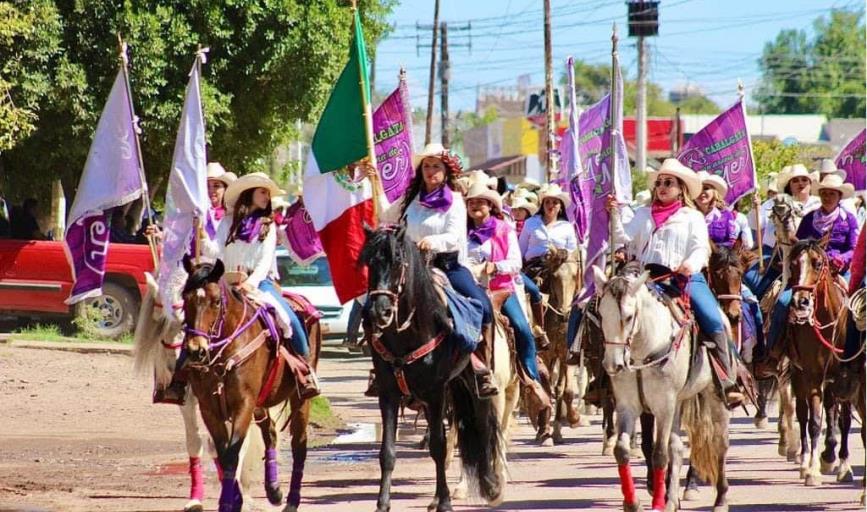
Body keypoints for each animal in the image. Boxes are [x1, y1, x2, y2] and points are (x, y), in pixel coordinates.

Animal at [181, 258, 322, 512]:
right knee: (271, 433)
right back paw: (274, 490)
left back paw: (292, 501)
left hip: (299, 399)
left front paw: (228, 503)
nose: (196, 350)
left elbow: (233, 453)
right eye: (185, 298)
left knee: (299, 445)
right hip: (261, 403)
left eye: (216, 301)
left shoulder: (243, 404)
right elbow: (223, 452)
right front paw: (233, 500)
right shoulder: (209, 409)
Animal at [360, 226, 506, 512]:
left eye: (397, 261)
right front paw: (382, 504)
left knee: (482, 426)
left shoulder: (436, 391)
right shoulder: (389, 394)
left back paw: (491, 486)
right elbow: (387, 452)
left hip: (467, 387)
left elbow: (439, 446)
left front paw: (446, 502)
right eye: (369, 262)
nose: (379, 312)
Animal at [596, 268, 732, 512]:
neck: (641, 353)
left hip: (713, 397)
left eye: (628, 317)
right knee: (676, 448)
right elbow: (622, 450)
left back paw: (721, 498)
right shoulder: (628, 406)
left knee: (720, 443)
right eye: (601, 315)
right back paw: (672, 499)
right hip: (678, 404)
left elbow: (659, 453)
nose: (613, 365)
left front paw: (658, 504)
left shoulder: (664, 406)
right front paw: (633, 503)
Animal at [784, 238, 852, 486]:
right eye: (793, 264)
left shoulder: (845, 376)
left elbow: (844, 421)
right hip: (798, 374)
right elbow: (813, 422)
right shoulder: (812, 375)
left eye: (818, 263)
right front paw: (812, 470)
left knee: (832, 410)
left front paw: (843, 465)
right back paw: (805, 462)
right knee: (803, 414)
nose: (800, 302)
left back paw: (830, 455)